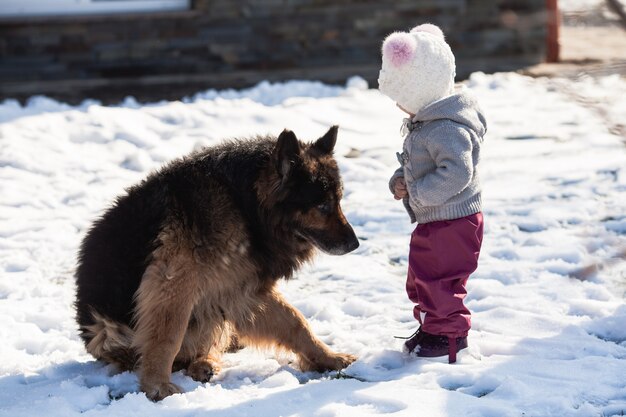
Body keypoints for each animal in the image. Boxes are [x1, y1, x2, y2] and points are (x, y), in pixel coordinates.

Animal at [74, 126, 356, 400]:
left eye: (339, 201)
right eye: (322, 205)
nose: (355, 244)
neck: (245, 204)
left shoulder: (241, 288)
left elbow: (296, 322)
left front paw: (328, 358)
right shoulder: (172, 284)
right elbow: (167, 337)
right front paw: (157, 386)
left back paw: (204, 362)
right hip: (110, 331)